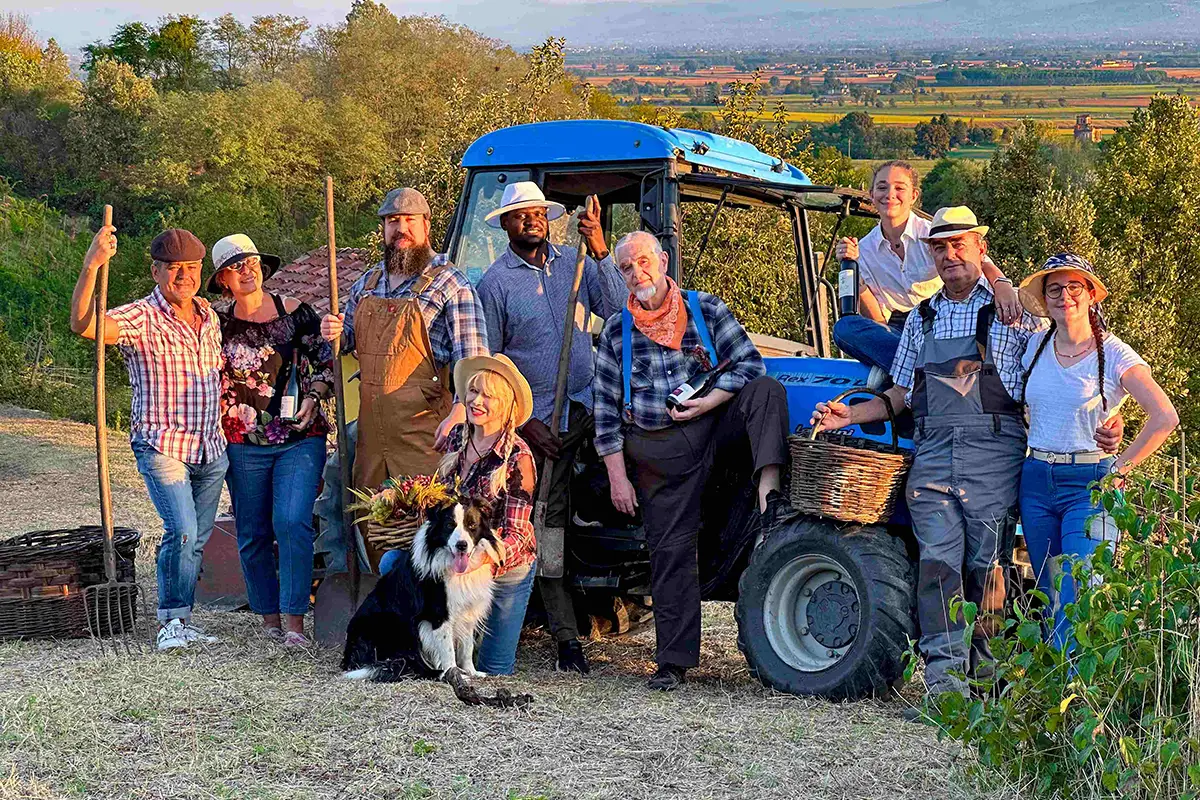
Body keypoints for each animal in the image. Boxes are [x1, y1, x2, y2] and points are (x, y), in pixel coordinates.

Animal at [343, 501, 501, 681]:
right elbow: (448, 651)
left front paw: (471, 671)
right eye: (449, 525)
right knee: (411, 665)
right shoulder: (439, 614)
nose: (462, 545)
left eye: (472, 525)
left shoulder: (468, 611)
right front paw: (454, 674)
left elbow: (467, 647)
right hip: (398, 627)